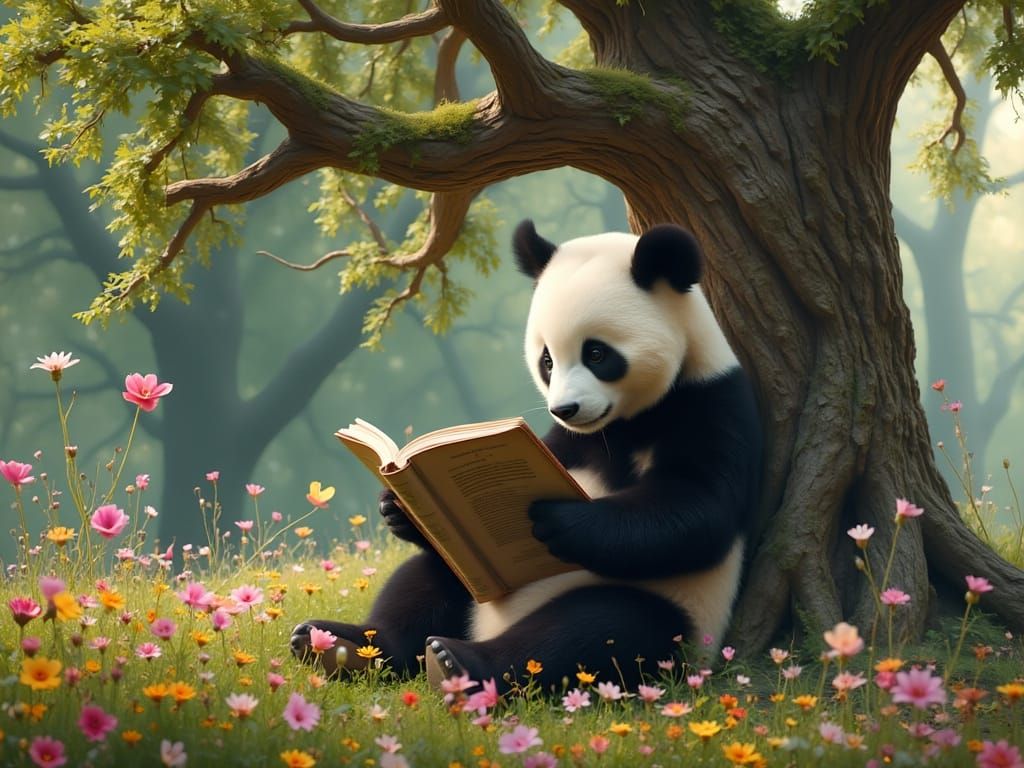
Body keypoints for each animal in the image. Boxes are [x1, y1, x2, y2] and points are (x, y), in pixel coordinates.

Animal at [290, 220, 762, 692]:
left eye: (596, 353)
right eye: (547, 360)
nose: (565, 408)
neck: (624, 423)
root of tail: (488, 627)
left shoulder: (711, 402)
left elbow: (697, 509)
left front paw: (556, 520)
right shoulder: (565, 442)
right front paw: (397, 506)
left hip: (678, 613)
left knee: (595, 630)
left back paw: (460, 661)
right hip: (476, 581)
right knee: (426, 580)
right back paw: (338, 645)